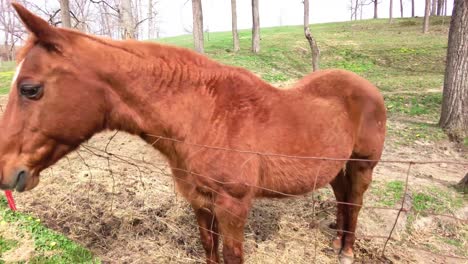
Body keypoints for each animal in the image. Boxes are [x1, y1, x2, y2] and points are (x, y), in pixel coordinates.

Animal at [0, 4, 388, 264]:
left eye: (30, 89)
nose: (5, 171)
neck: (206, 118)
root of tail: (367, 87)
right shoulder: (200, 201)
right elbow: (208, 247)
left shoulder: (233, 206)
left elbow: (231, 255)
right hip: (336, 166)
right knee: (343, 200)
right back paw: (336, 242)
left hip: (362, 165)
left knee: (354, 203)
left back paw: (346, 251)